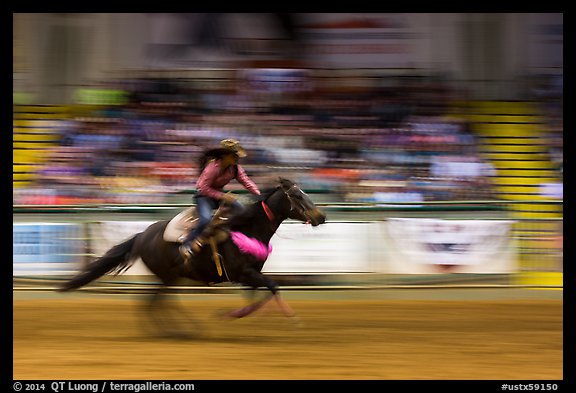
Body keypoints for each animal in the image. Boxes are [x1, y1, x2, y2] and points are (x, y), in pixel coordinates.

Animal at [61, 177, 328, 334]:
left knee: (156, 303)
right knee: (156, 303)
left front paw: (234, 315)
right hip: (168, 276)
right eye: (297, 196)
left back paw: (180, 329)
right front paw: (292, 318)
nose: (321, 216)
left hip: (170, 278)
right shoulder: (244, 273)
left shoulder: (251, 276)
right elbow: (273, 287)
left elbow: (260, 296)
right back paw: (179, 330)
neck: (246, 228)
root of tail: (141, 235)